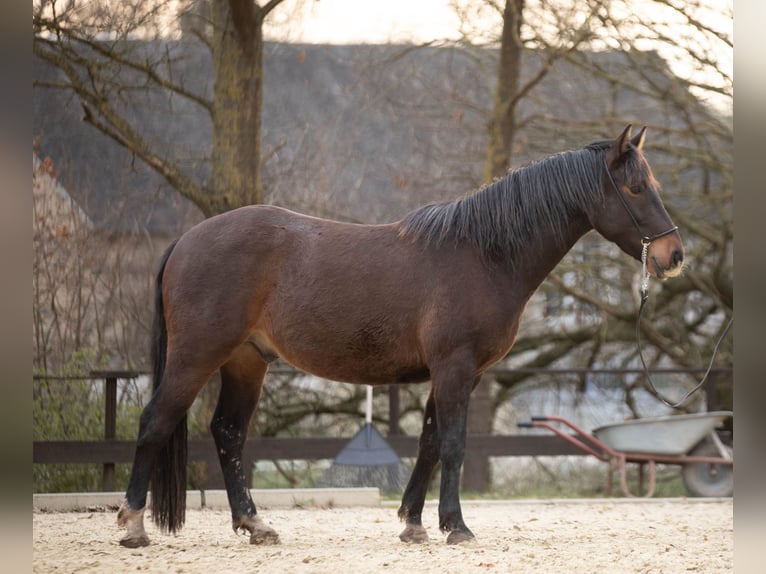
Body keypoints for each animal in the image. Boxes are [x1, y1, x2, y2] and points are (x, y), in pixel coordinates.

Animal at [118, 125, 684, 548]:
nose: (673, 256)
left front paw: (414, 524)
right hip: (197, 356)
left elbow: (430, 443)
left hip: (246, 361)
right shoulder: (454, 366)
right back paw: (133, 526)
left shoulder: (457, 374)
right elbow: (453, 444)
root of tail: (186, 240)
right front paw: (456, 526)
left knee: (228, 433)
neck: (484, 253)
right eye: (636, 188)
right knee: (155, 421)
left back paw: (255, 524)